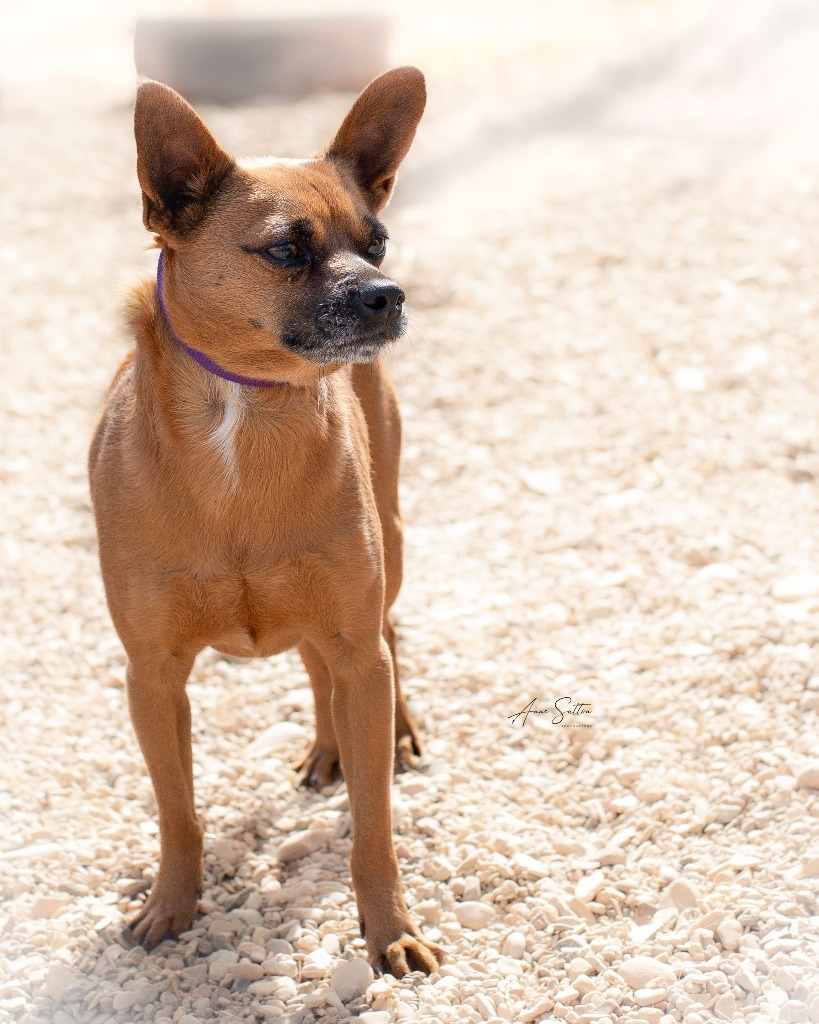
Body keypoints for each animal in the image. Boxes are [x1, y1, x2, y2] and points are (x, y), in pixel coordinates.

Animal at [88, 66, 442, 974]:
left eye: (377, 242)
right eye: (285, 249)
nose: (389, 294)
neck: (246, 417)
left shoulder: (354, 638)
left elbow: (374, 829)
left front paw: (389, 930)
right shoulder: (152, 677)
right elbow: (177, 811)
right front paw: (170, 906)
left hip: (387, 551)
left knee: (385, 641)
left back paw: (385, 736)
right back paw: (329, 748)